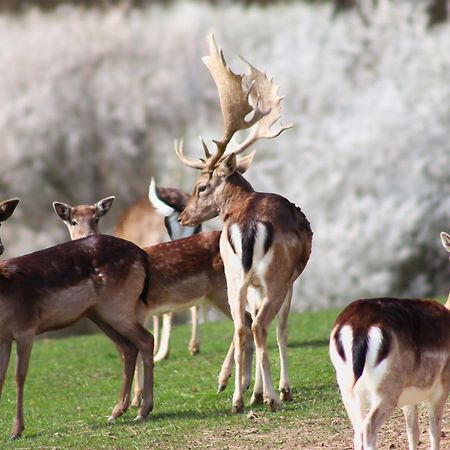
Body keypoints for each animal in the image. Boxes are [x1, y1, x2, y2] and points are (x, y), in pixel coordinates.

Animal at [0, 232, 155, 440]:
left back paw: (143, 411)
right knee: (128, 347)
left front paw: (16, 431)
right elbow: (1, 377)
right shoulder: (4, 338)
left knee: (146, 340)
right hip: (99, 314)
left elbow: (19, 376)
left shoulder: (26, 329)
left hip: (118, 307)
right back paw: (116, 412)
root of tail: (141, 254)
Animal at [175, 34, 312, 414]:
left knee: (241, 326)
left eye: (200, 187)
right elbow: (282, 329)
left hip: (233, 274)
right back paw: (271, 399)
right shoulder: (290, 280)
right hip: (275, 275)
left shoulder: (249, 282)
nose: (183, 216)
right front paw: (280, 390)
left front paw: (249, 390)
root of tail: (248, 225)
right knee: (261, 326)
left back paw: (238, 399)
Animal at [326, 232, 450, 450]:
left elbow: (413, 432)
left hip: (347, 387)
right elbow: (434, 433)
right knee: (368, 428)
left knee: (357, 430)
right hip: (387, 389)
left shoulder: (410, 398)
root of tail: (360, 327)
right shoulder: (441, 387)